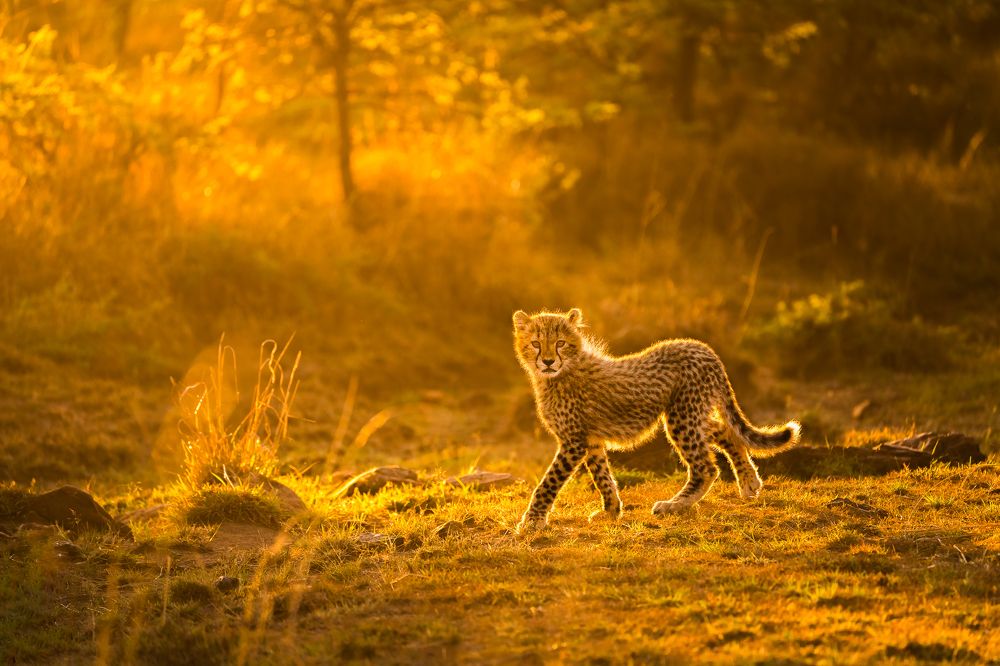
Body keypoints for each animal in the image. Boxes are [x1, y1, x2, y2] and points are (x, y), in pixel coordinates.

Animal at [512, 308, 801, 533]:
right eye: (536, 343)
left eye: (560, 343)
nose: (548, 361)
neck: (558, 374)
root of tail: (702, 347)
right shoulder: (591, 439)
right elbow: (602, 476)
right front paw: (611, 511)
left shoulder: (574, 442)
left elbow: (549, 481)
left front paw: (532, 520)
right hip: (692, 414)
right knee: (726, 431)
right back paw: (749, 481)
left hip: (682, 417)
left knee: (706, 467)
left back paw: (674, 505)